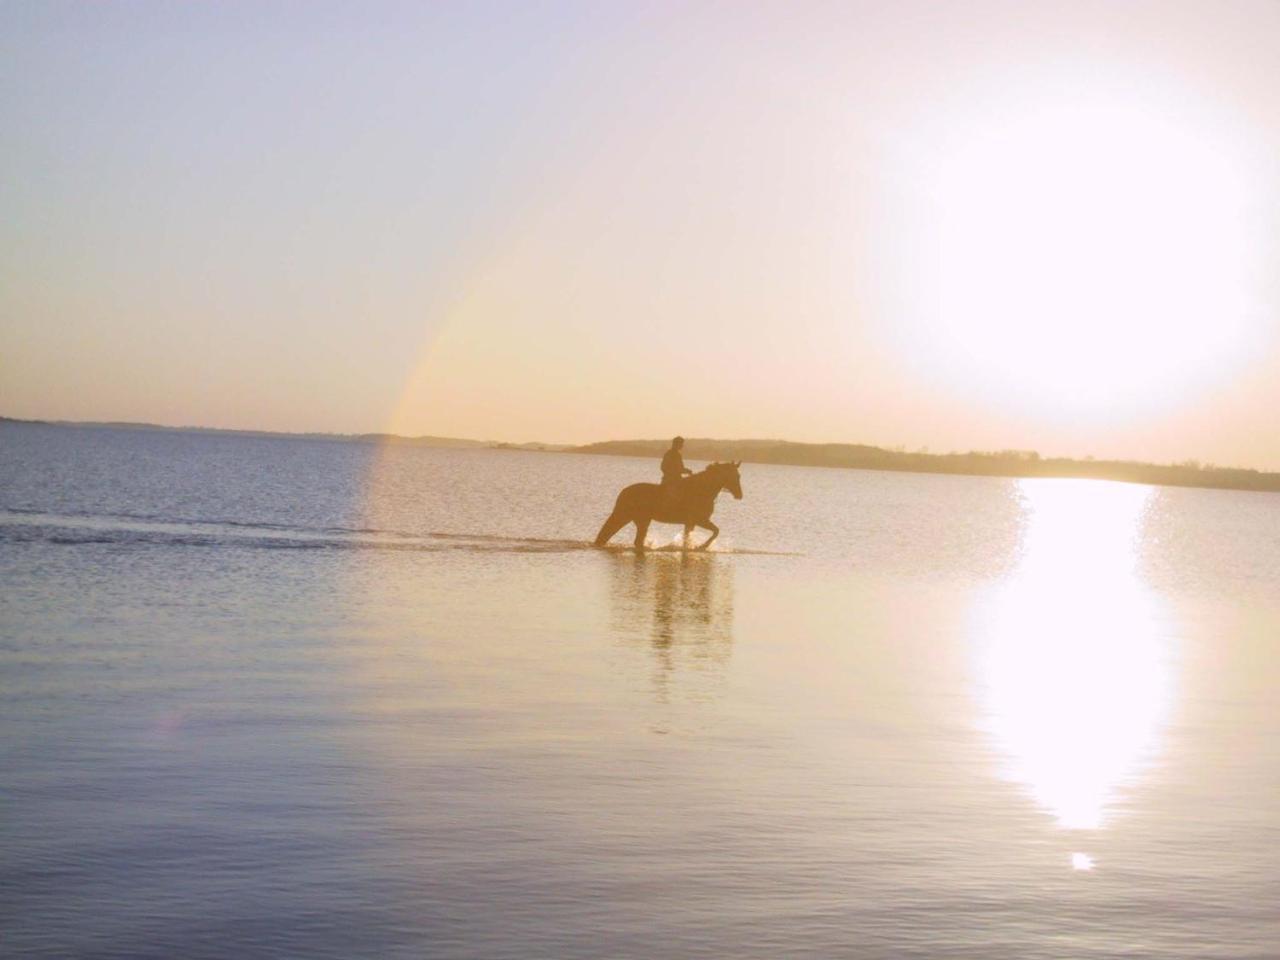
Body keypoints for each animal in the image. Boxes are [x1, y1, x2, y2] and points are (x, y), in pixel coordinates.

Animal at [596, 463, 747, 552]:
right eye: (734, 475)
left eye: (738, 475)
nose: (739, 495)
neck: (701, 490)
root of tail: (624, 492)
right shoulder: (700, 520)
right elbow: (716, 531)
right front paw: (702, 546)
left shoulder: (691, 522)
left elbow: (690, 538)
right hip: (629, 517)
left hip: (639, 520)